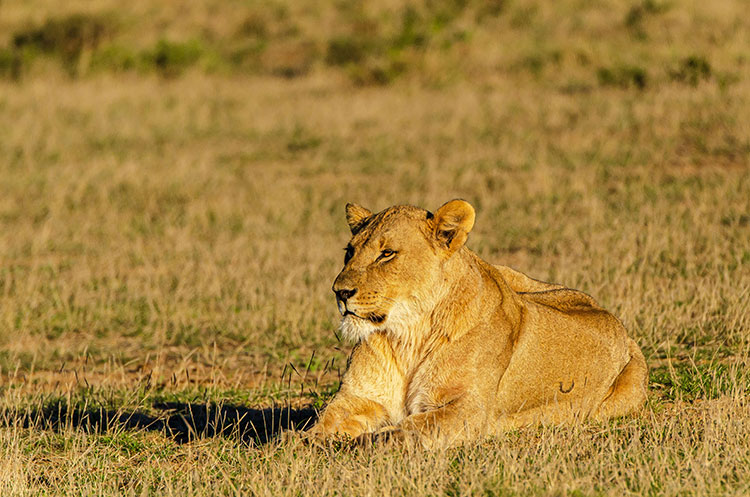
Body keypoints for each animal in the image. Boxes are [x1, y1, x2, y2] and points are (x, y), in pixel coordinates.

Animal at [307, 199, 648, 447]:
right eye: (349, 252)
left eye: (387, 253)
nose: (339, 292)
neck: (408, 335)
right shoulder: (357, 398)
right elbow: (322, 423)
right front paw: (303, 443)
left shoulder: (468, 409)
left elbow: (406, 430)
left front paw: (363, 443)